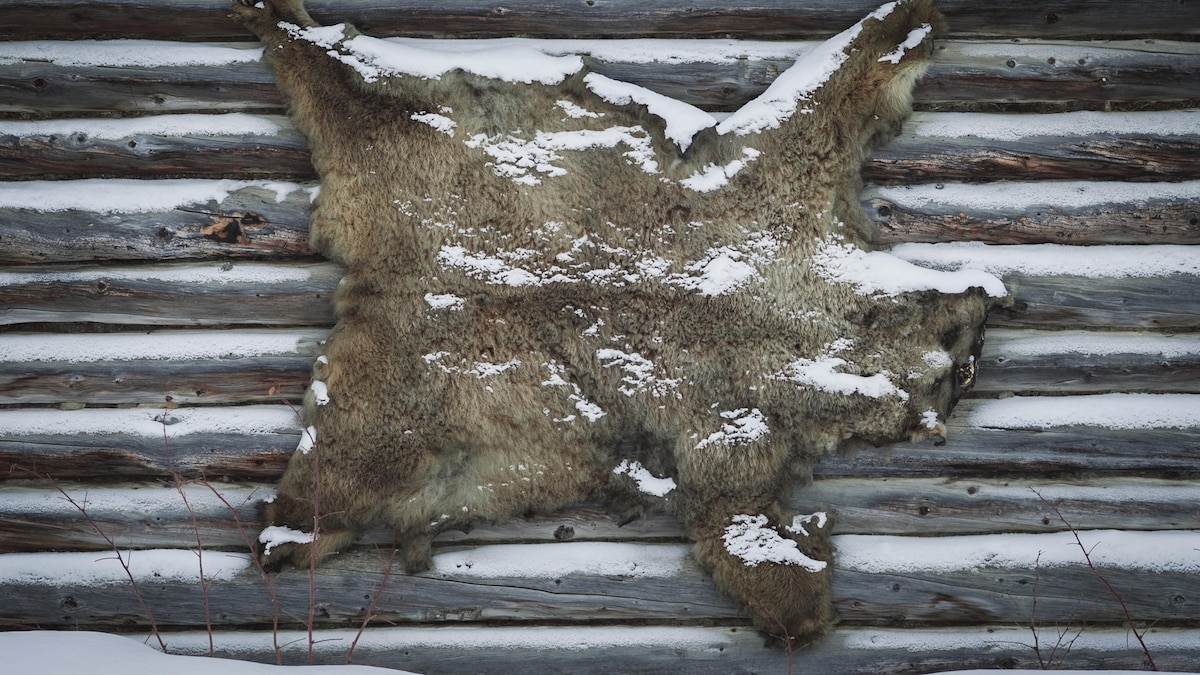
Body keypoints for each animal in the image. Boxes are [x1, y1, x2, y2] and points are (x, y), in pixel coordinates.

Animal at [231, 0, 1005, 647]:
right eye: (943, 363)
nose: (978, 339)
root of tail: (374, 283)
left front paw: (906, 24)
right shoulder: (730, 424)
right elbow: (741, 533)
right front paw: (802, 608)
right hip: (387, 397)